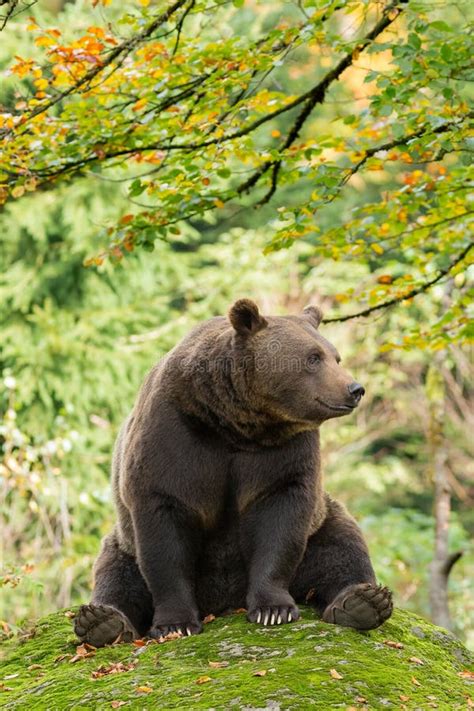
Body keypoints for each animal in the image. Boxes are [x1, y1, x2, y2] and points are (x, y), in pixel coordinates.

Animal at [74, 298, 392, 648]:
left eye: (335, 356)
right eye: (313, 357)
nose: (355, 388)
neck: (236, 423)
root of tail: (224, 603)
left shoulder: (281, 454)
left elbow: (280, 520)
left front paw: (273, 609)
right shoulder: (173, 438)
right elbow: (164, 538)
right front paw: (175, 623)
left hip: (321, 525)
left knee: (343, 546)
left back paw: (362, 602)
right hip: (122, 540)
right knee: (116, 574)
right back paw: (102, 621)